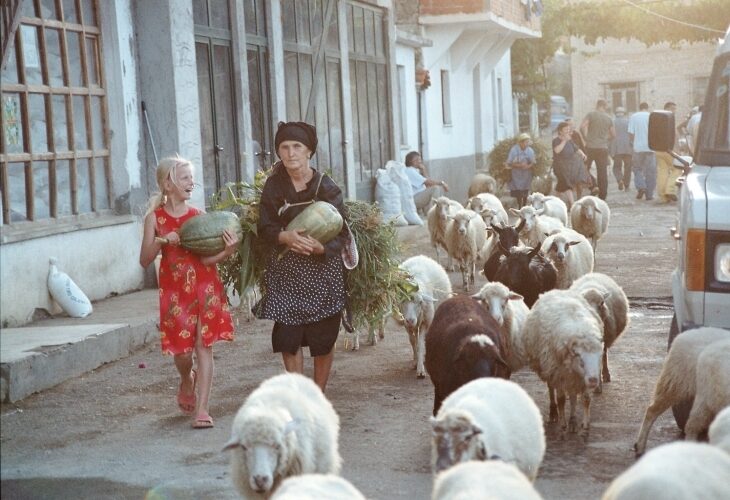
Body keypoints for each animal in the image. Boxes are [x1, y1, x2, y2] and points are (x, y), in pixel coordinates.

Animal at [524, 290, 604, 434]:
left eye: (599, 356)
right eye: (580, 358)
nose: (594, 380)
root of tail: (554, 291)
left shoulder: (580, 377)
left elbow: (585, 399)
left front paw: (584, 424)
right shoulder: (559, 374)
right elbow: (561, 400)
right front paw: (562, 424)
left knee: (572, 396)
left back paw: (572, 420)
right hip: (549, 369)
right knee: (552, 390)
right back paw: (554, 413)